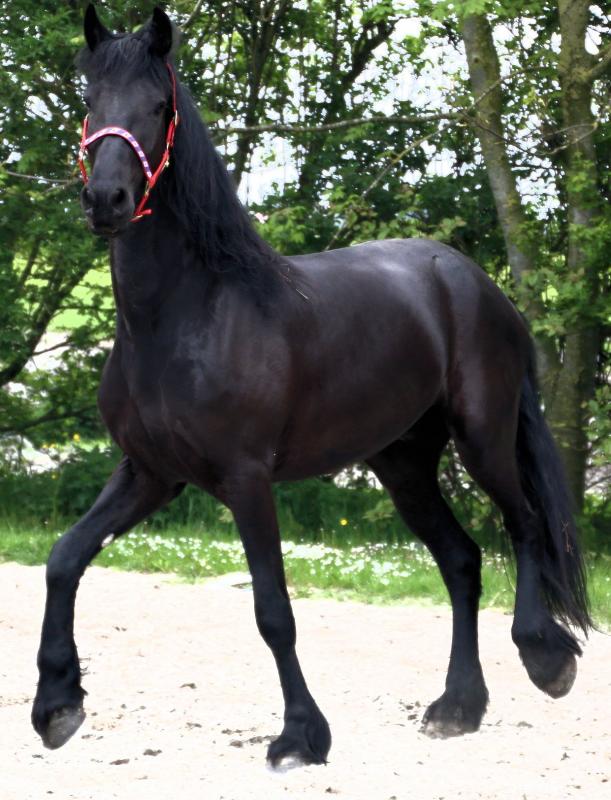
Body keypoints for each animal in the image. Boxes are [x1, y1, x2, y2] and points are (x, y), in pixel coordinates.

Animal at [32, 5, 590, 765]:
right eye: (90, 101)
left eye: (156, 107)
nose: (106, 200)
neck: (186, 315)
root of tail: (473, 281)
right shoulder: (149, 473)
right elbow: (63, 560)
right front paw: (57, 705)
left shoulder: (244, 479)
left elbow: (273, 610)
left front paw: (300, 734)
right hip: (401, 461)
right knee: (461, 560)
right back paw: (457, 706)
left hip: (482, 436)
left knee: (524, 524)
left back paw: (544, 657)